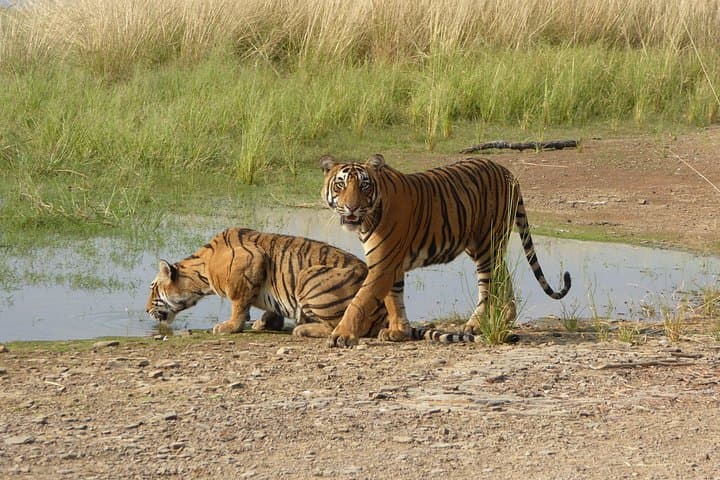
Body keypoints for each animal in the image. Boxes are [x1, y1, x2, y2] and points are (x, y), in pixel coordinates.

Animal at [145, 227, 387, 338]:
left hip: (309, 277)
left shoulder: (250, 262)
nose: (146, 310)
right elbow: (272, 306)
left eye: (153, 289)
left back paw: (302, 329)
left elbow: (238, 305)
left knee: (339, 326)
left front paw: (228, 326)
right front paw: (265, 322)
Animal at [320, 153, 571, 347]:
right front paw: (398, 331)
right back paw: (506, 317)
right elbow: (394, 298)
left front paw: (342, 335)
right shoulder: (390, 264)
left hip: (486, 245)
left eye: (364, 185)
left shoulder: (383, 265)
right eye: (340, 184)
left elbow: (359, 302)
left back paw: (474, 325)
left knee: (488, 285)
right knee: (502, 276)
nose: (352, 207)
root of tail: (507, 171)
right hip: (483, 246)